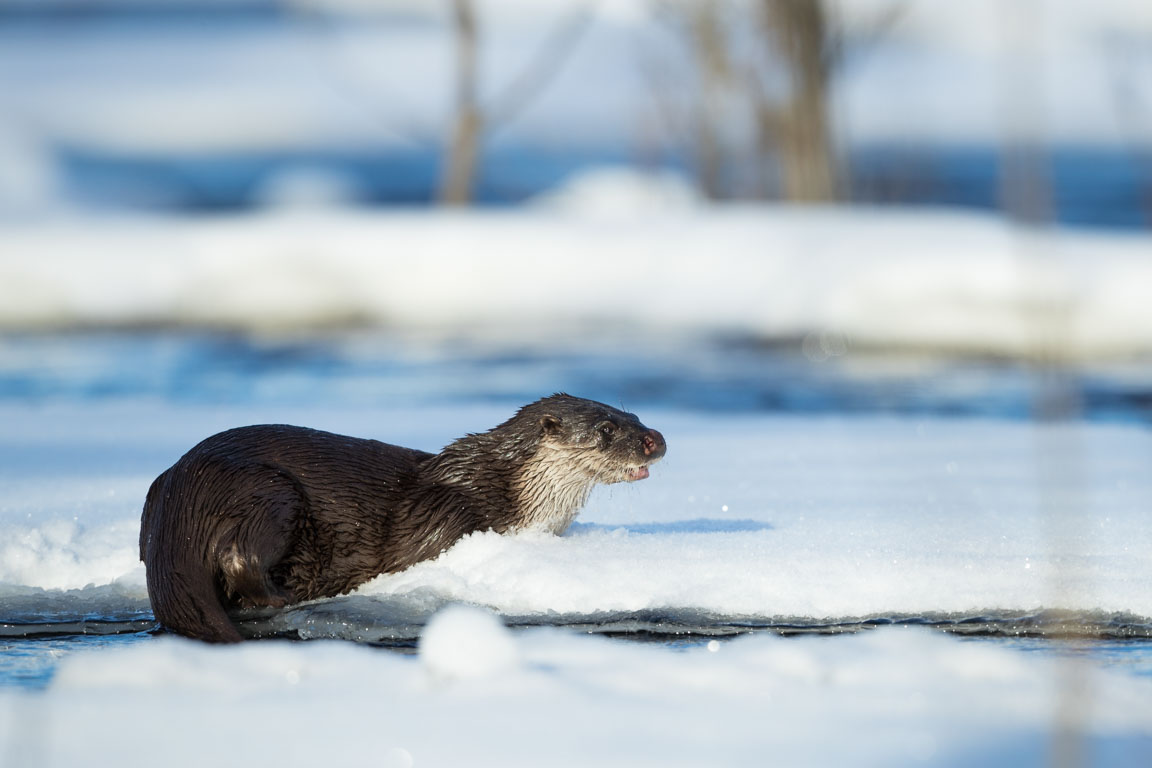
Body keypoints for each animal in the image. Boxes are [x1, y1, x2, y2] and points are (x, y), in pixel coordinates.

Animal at [135, 396, 668, 644]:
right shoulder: (449, 519)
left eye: (636, 416)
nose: (657, 439)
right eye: (606, 429)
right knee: (241, 556)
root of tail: (181, 494)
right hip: (267, 490)